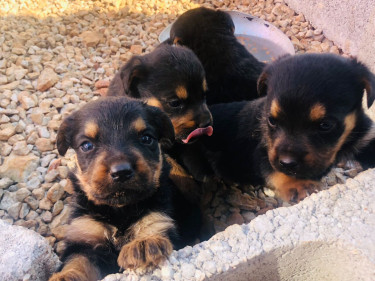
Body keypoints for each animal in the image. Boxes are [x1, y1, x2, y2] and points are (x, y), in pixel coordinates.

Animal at [50, 97, 203, 280]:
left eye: (146, 138)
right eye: (86, 145)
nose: (121, 172)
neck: (120, 210)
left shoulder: (158, 216)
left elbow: (151, 225)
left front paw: (143, 244)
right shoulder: (85, 236)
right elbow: (77, 261)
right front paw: (66, 276)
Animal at [188, 53, 375, 201]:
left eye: (325, 125)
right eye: (271, 120)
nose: (287, 162)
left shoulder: (365, 135)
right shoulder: (262, 151)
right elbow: (273, 169)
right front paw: (300, 185)